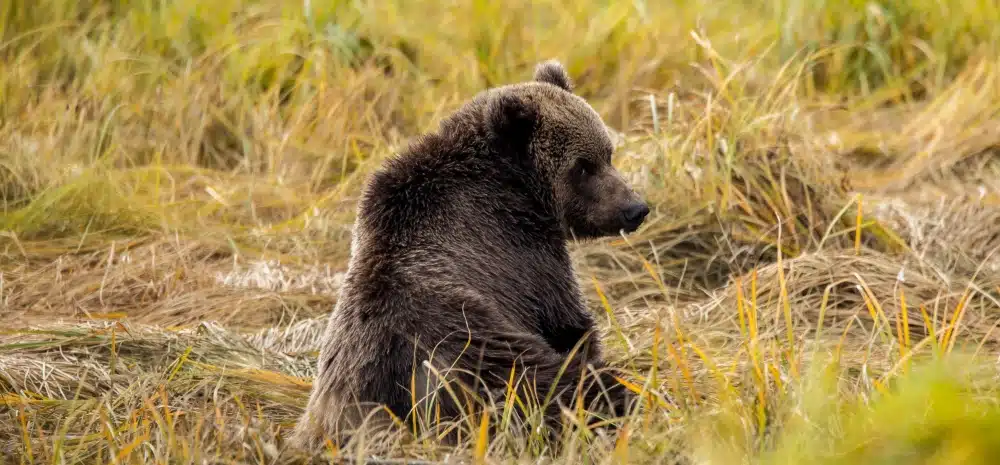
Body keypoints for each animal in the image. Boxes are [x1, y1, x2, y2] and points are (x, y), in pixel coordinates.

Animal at [290, 58, 648, 450]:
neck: (517, 188)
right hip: (477, 351)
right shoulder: (523, 254)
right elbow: (569, 324)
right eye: (582, 166)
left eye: (608, 153)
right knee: (555, 384)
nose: (635, 209)